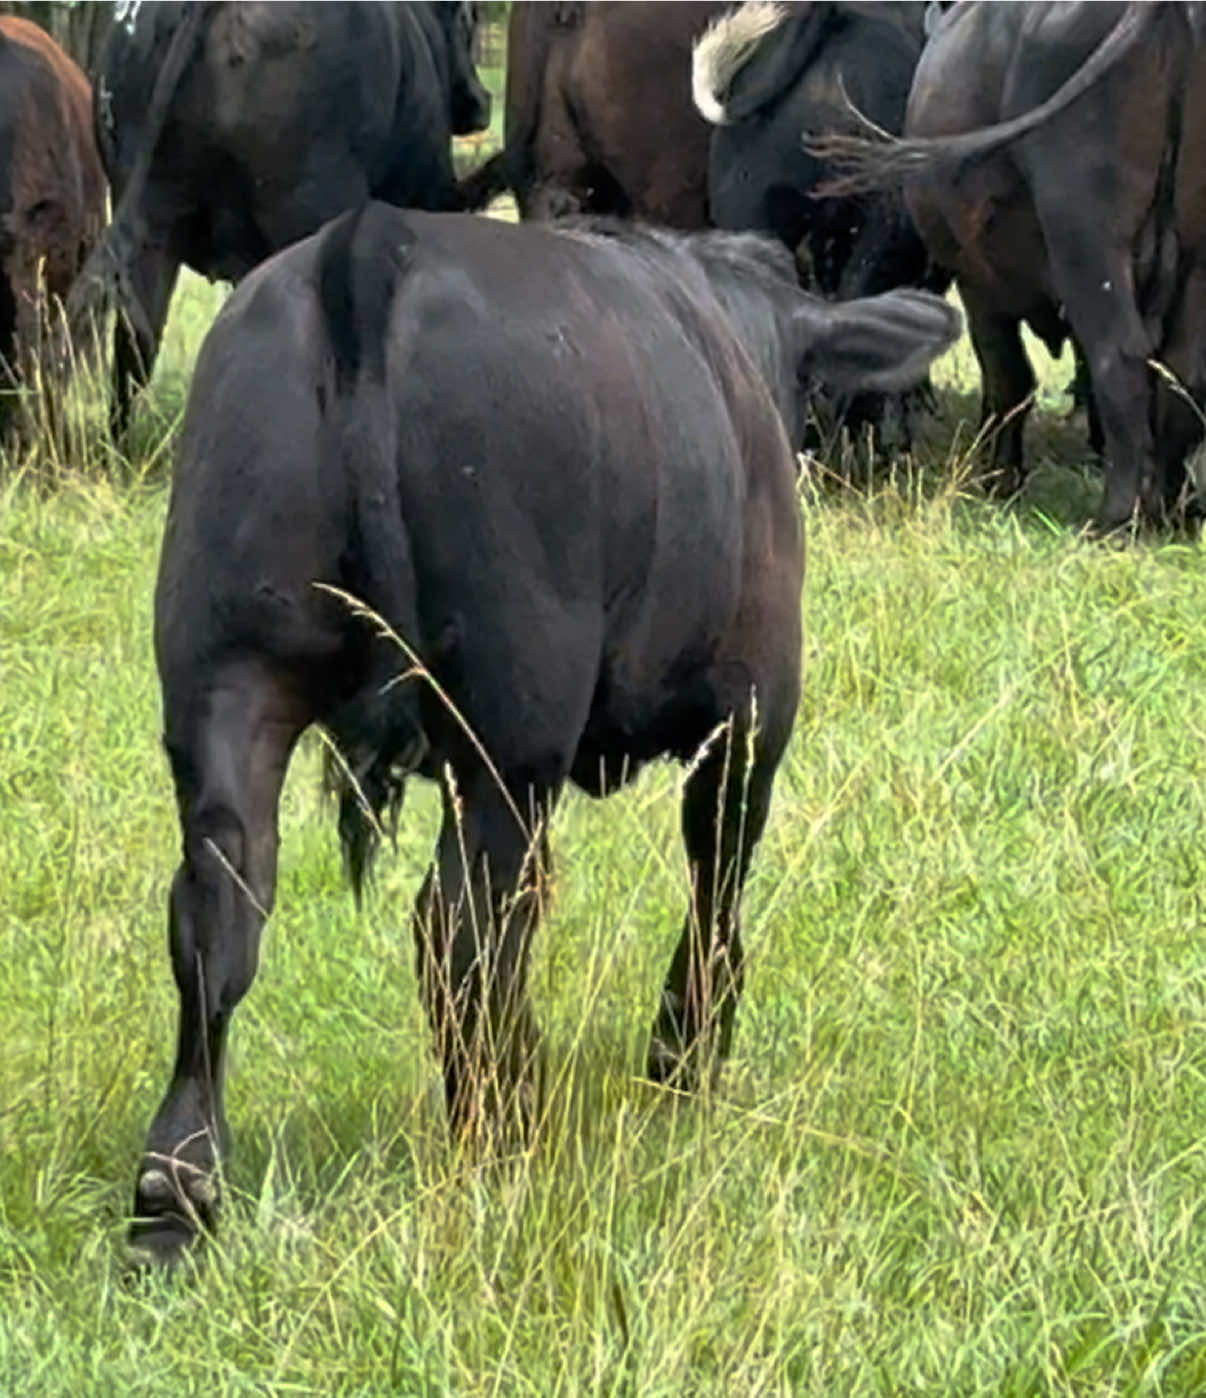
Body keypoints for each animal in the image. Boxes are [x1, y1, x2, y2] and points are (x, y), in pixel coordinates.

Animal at [130, 200, 959, 1262]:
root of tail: (372, 243)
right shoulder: (754, 714)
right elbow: (717, 891)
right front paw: (684, 1062)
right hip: (507, 733)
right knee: (465, 930)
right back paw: (507, 1123)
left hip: (227, 676)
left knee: (217, 910)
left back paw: (178, 1184)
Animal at [816, 2, 1206, 530]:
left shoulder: (978, 285)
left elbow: (1008, 377)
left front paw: (998, 479)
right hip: (1194, 255)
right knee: (1181, 373)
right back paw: (1173, 505)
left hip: (1087, 241)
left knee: (1119, 360)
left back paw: (1116, 516)